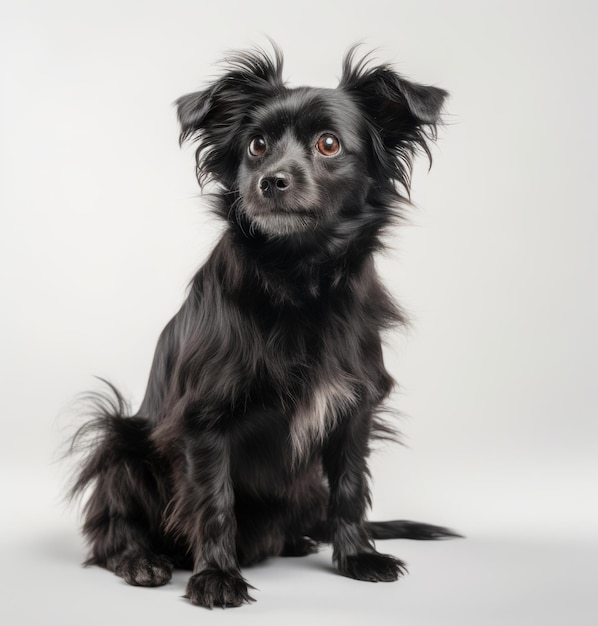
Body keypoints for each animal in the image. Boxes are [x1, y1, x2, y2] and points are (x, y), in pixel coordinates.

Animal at [70, 47, 458, 604]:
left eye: (328, 143)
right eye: (256, 145)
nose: (270, 180)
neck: (298, 280)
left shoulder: (354, 410)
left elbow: (350, 489)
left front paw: (357, 557)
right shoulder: (204, 422)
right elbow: (214, 502)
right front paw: (215, 576)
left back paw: (297, 540)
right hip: (119, 441)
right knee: (108, 527)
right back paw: (140, 560)